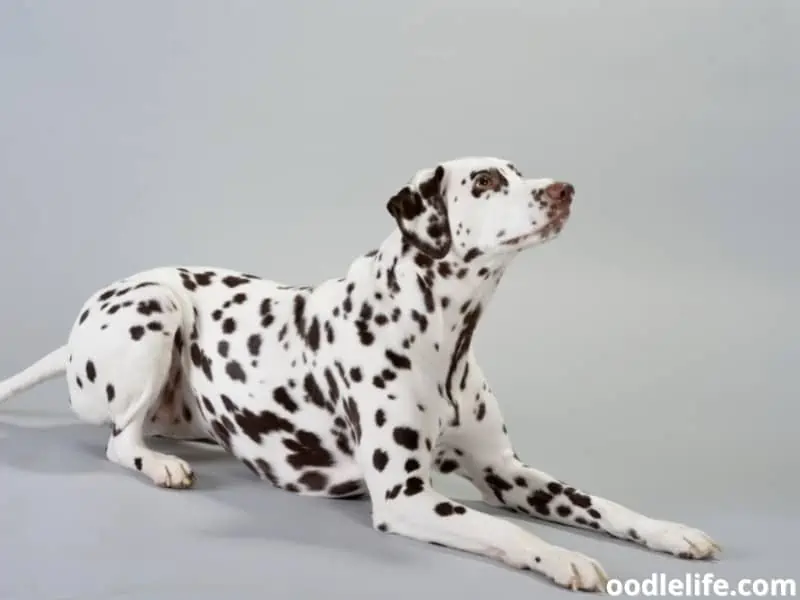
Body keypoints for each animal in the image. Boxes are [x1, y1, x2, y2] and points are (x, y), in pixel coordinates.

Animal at [0, 156, 720, 592]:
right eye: (487, 182)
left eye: (521, 172)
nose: (564, 190)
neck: (440, 339)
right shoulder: (406, 496)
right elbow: (505, 529)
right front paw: (566, 557)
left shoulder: (507, 473)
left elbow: (600, 503)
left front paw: (670, 531)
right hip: (157, 309)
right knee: (120, 440)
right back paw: (159, 464)